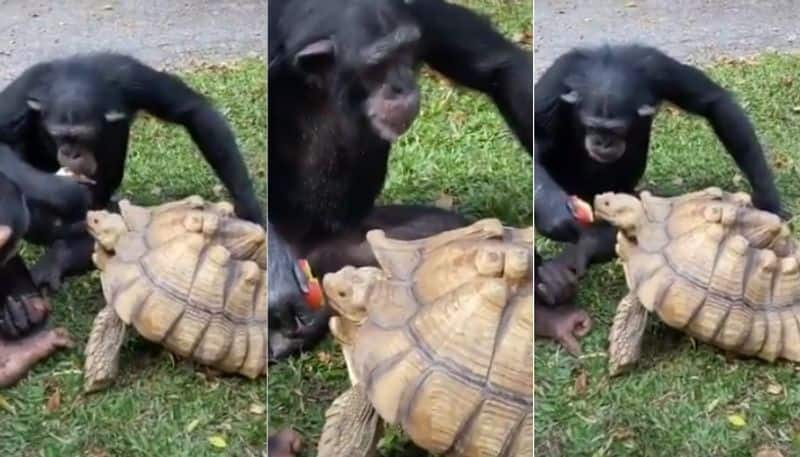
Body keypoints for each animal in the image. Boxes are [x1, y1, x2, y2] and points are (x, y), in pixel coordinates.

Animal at [0, 50, 264, 292]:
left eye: (83, 137)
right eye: (58, 135)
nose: (70, 153)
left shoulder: (134, 78)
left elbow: (192, 110)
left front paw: (250, 208)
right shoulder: (26, 87)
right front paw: (65, 192)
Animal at [268, 0, 532, 358]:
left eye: (405, 51)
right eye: (377, 65)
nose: (401, 85)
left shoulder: (421, 13)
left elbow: (498, 66)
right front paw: (278, 280)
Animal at [532, 43, 780, 352]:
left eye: (615, 129)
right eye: (592, 126)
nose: (603, 142)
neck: (606, 69)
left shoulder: (658, 67)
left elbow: (714, 102)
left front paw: (769, 197)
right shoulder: (557, 80)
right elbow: (535, 137)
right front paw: (553, 212)